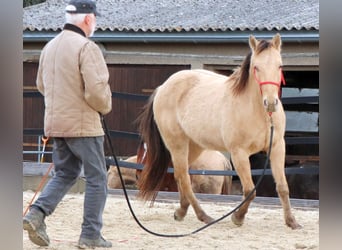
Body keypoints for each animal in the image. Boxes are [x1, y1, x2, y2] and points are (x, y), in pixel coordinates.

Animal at [136, 34, 302, 229]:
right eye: (256, 67)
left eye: (280, 66)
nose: (270, 103)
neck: (258, 113)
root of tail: (163, 87)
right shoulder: (239, 154)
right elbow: (249, 190)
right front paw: (237, 218)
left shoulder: (276, 148)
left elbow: (283, 187)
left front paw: (292, 222)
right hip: (178, 144)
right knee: (184, 177)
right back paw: (204, 216)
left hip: (194, 146)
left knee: (181, 176)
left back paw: (181, 211)